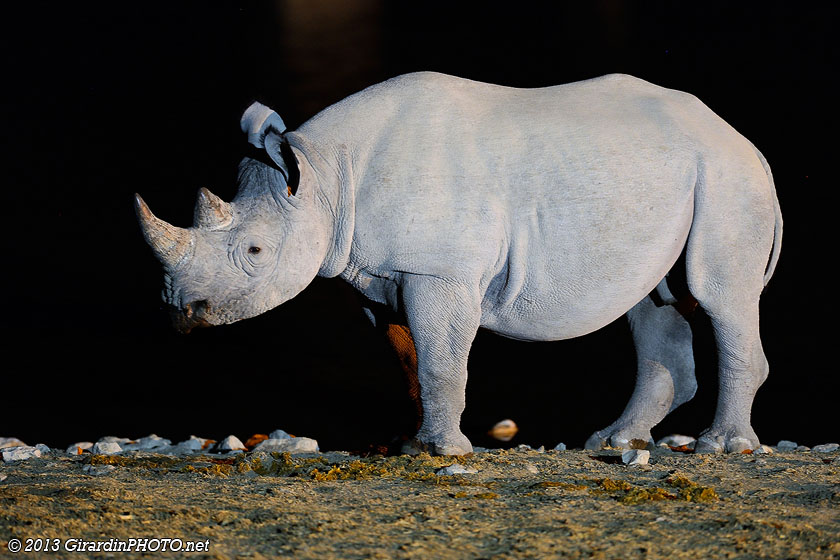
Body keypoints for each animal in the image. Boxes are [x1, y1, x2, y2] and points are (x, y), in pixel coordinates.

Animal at [135, 72, 782, 455]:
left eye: (254, 253)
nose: (182, 313)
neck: (323, 176)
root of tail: (745, 142)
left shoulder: (439, 271)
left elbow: (443, 359)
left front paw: (446, 451)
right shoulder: (380, 278)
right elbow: (413, 361)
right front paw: (415, 446)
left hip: (726, 177)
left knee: (718, 295)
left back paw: (723, 446)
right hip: (679, 174)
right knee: (653, 302)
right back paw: (610, 441)